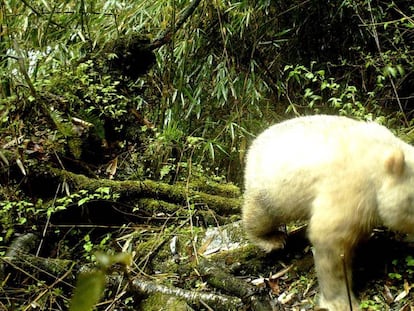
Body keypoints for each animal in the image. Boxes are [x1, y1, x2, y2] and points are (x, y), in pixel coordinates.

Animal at [243, 115, 414, 311]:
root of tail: (255, 143)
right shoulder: (352, 188)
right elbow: (330, 240)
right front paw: (341, 301)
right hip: (271, 187)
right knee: (261, 215)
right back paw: (271, 239)